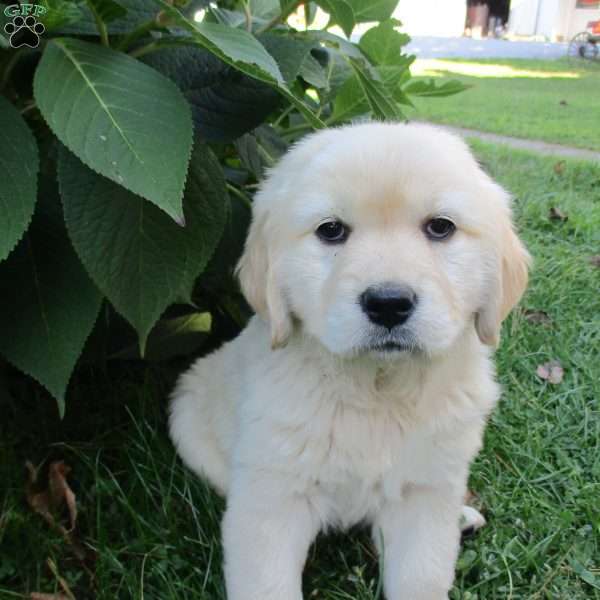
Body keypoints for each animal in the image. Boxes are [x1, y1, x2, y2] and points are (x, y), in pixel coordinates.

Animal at [169, 123, 528, 600]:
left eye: (440, 227)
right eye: (331, 230)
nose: (389, 303)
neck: (378, 388)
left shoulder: (424, 495)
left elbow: (422, 577)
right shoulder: (271, 500)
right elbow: (266, 582)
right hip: (188, 419)